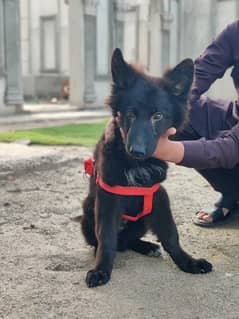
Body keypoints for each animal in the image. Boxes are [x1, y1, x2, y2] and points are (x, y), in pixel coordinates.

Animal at [81, 48, 212, 288]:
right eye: (130, 114)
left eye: (157, 116)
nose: (137, 151)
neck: (136, 164)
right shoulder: (108, 198)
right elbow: (106, 239)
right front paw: (101, 269)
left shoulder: (158, 196)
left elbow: (171, 235)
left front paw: (188, 263)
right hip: (88, 209)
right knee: (113, 242)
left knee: (128, 241)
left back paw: (147, 246)